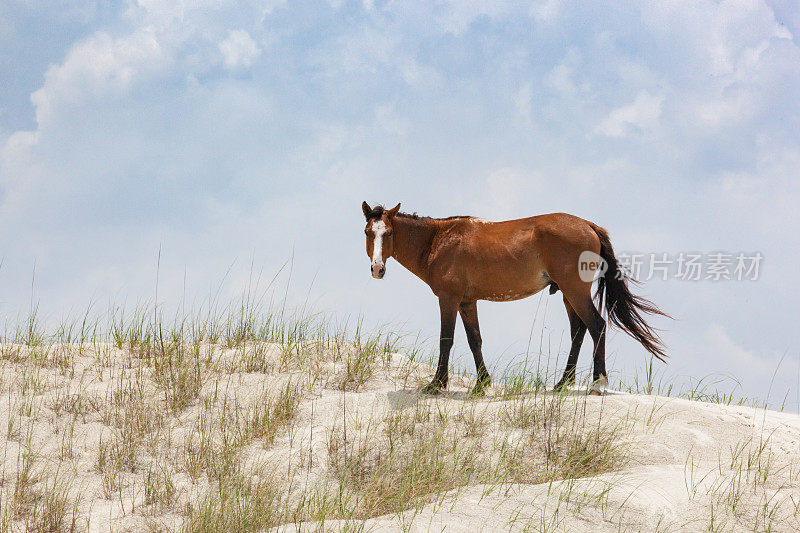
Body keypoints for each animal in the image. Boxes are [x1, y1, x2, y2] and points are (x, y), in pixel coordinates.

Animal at [362, 201, 668, 394]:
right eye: (368, 232)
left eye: (388, 232)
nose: (377, 269)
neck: (439, 240)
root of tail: (589, 225)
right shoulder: (467, 301)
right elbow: (474, 340)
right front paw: (482, 384)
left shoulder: (448, 299)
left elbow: (446, 339)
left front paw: (436, 385)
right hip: (568, 294)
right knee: (579, 331)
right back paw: (563, 383)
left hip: (575, 291)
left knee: (596, 325)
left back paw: (597, 384)